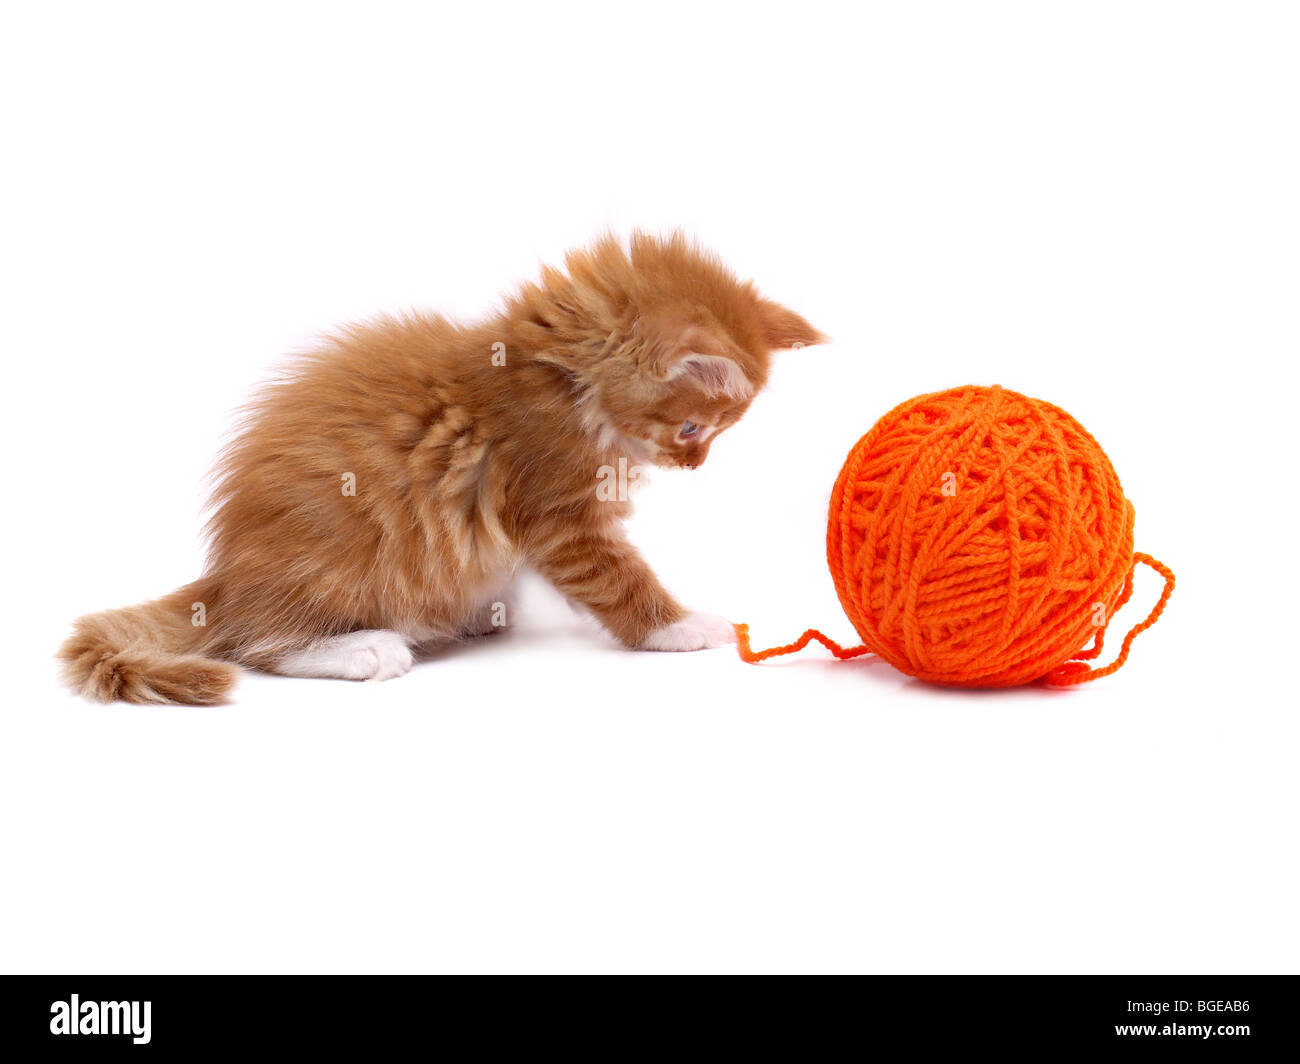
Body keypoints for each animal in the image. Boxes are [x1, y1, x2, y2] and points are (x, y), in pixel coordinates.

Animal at [61, 227, 821, 702]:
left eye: (715, 433)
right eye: (694, 427)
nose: (696, 465)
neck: (562, 381)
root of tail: (225, 579)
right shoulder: (558, 511)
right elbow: (617, 577)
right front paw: (682, 626)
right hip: (332, 563)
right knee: (258, 643)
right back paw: (363, 649)